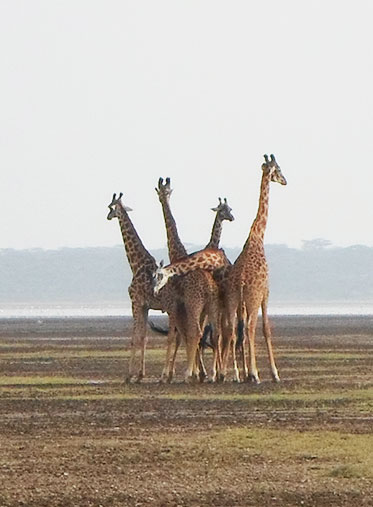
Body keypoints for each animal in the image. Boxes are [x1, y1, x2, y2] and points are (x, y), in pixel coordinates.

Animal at [155, 179, 232, 380]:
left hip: (198, 305)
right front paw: (199, 371)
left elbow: (180, 335)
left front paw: (170, 373)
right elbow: (189, 335)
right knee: (218, 333)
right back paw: (215, 373)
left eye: (165, 192)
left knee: (203, 333)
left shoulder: (176, 305)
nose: (232, 217)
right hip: (212, 305)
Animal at [219, 155, 286, 384]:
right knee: (249, 328)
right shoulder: (266, 292)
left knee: (231, 329)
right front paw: (273, 373)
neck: (258, 235)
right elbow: (266, 329)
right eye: (278, 169)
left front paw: (245, 371)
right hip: (252, 298)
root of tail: (240, 281)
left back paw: (223, 374)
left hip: (232, 299)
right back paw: (255, 374)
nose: (285, 181)